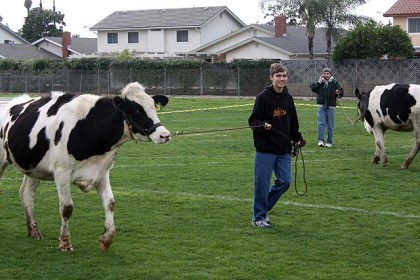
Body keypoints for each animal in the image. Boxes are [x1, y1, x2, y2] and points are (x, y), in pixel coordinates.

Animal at [0, 81, 171, 252]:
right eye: (136, 110)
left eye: (153, 107)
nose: (165, 135)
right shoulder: (62, 172)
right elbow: (66, 208)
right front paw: (65, 242)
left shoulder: (102, 172)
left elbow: (110, 203)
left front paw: (106, 239)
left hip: (34, 166)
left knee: (26, 193)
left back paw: (34, 232)